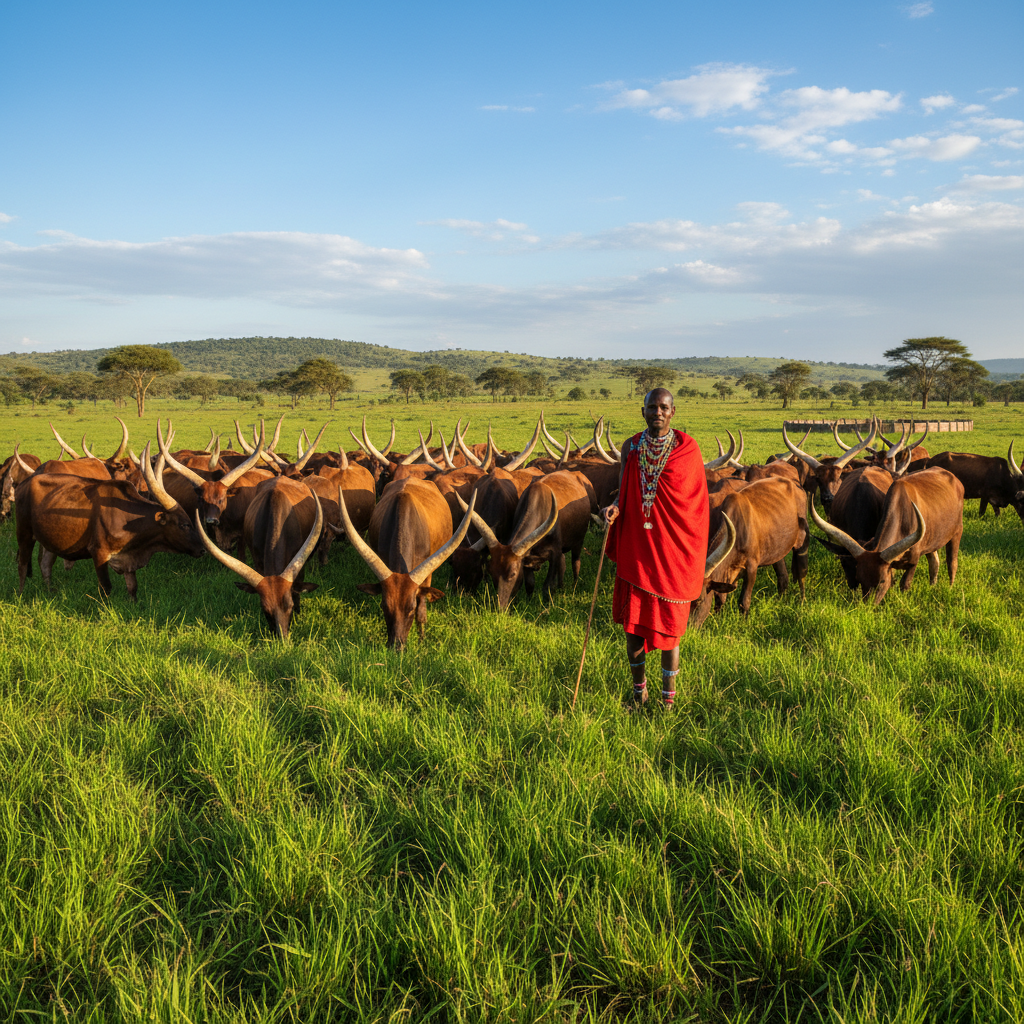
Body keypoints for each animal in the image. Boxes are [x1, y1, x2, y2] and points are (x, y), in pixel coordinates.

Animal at [16, 443, 205, 600]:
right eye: (184, 525)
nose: (202, 549)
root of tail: (25, 483)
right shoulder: (99, 553)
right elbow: (106, 588)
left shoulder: (128, 560)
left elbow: (133, 588)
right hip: (24, 535)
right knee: (22, 565)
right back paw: (20, 596)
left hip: (49, 539)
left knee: (45, 565)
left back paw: (49, 593)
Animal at [340, 479, 477, 649]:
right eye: (384, 606)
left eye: (411, 608)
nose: (396, 647)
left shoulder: (425, 578)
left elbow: (422, 609)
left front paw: (421, 639)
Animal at [808, 467, 964, 604]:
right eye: (860, 577)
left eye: (882, 581)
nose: (869, 606)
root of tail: (954, 478)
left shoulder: (913, 560)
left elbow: (904, 585)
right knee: (934, 562)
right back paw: (933, 586)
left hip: (957, 533)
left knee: (952, 563)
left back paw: (950, 587)